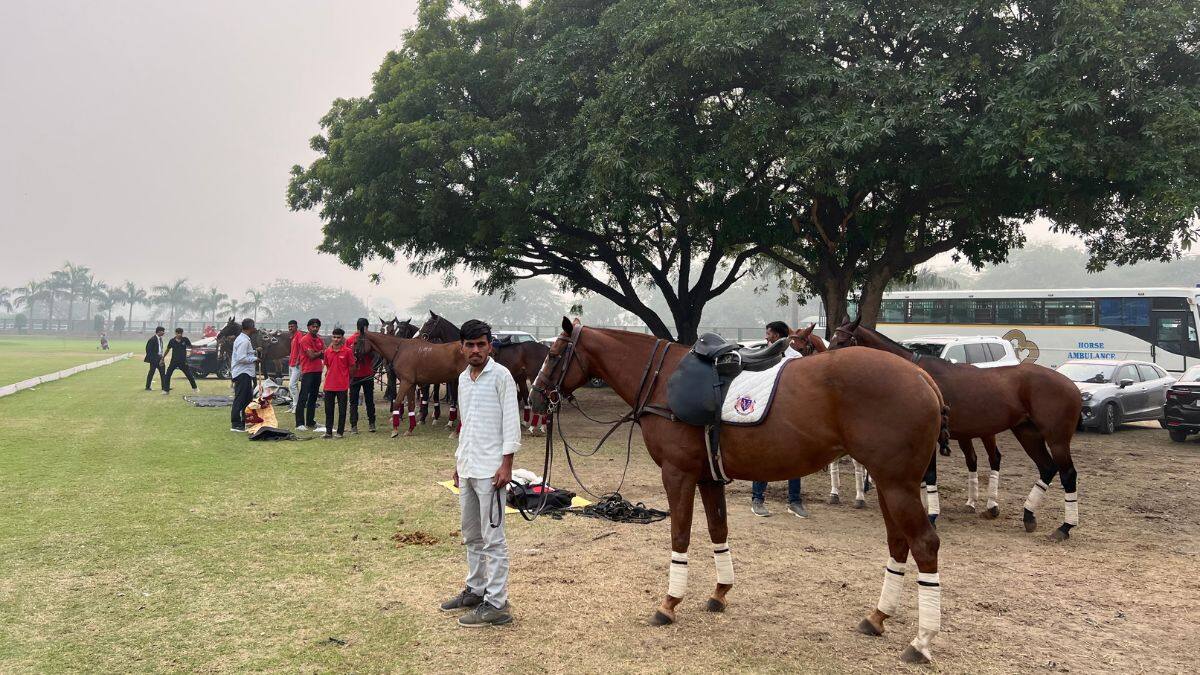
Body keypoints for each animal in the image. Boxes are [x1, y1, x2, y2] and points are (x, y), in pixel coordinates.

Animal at [531, 318, 950, 664]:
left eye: (552, 354)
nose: (535, 397)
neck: (662, 380)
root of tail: (922, 376)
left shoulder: (677, 474)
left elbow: (680, 535)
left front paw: (669, 603)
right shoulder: (708, 477)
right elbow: (719, 531)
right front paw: (719, 592)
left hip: (897, 484)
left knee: (925, 544)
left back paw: (921, 641)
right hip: (888, 484)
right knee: (898, 543)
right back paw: (877, 617)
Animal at [827, 318, 1083, 540]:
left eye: (841, 342)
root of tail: (1072, 385)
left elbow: (929, 475)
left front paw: (931, 516)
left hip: (1056, 438)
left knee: (1068, 474)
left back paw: (1065, 526)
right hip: (1027, 433)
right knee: (1046, 468)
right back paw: (1028, 515)